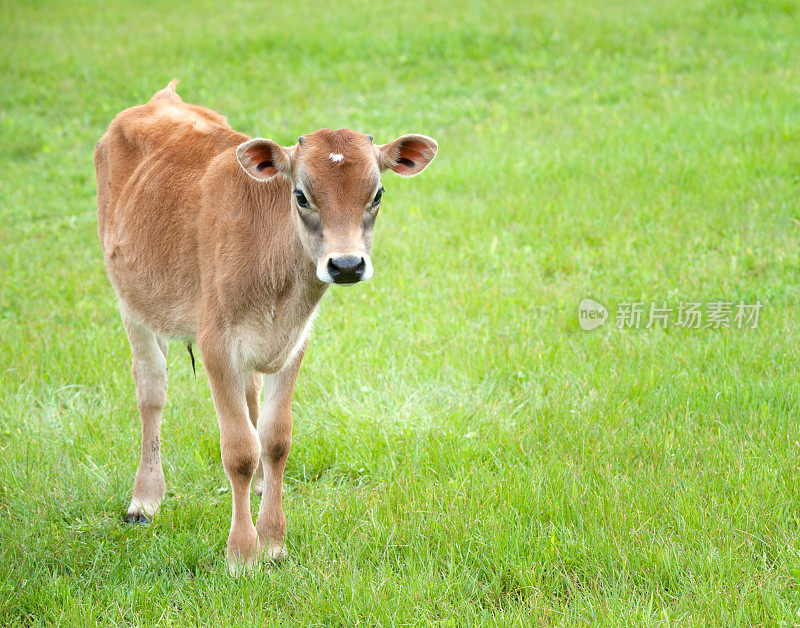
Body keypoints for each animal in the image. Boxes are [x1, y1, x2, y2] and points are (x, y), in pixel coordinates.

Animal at [94, 81, 438, 572]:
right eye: (301, 195)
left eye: (377, 193)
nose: (346, 265)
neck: (279, 286)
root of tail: (163, 98)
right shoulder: (216, 343)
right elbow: (239, 448)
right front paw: (242, 553)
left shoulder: (294, 342)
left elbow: (274, 439)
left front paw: (273, 540)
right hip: (131, 299)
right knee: (151, 389)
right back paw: (144, 499)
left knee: (251, 394)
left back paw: (257, 486)